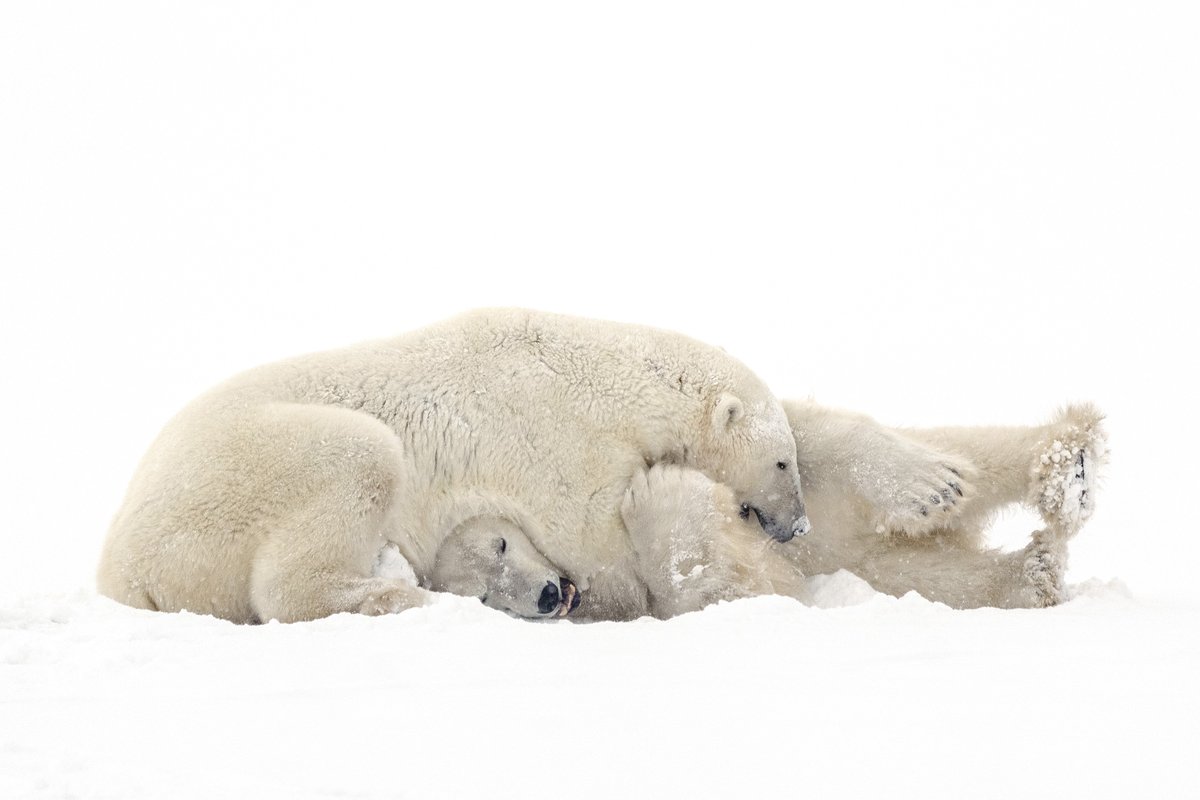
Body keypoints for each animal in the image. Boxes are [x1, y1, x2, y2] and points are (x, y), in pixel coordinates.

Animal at [96, 308, 807, 623]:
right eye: (782, 461)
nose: (796, 526)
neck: (601, 379)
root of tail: (120, 573)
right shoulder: (556, 444)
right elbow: (595, 540)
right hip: (242, 476)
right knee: (352, 469)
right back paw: (397, 590)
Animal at [619, 401, 1107, 615]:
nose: (792, 527)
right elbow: (739, 588)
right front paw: (660, 492)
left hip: (828, 505)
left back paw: (1068, 464)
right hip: (846, 544)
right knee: (919, 575)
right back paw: (1034, 573)